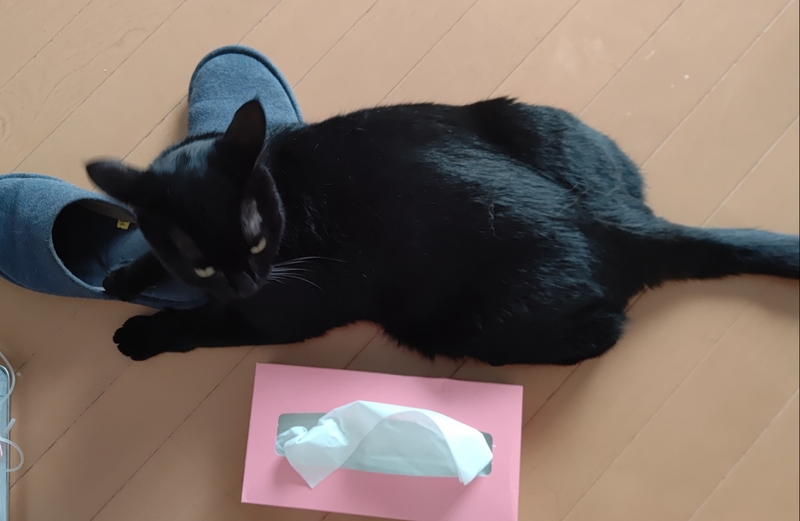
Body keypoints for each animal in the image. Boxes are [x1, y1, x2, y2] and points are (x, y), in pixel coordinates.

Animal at [86, 98, 800, 363]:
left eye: (258, 241)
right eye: (202, 262)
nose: (244, 280)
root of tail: (602, 216)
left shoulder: (280, 314)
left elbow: (201, 326)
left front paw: (144, 333)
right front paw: (125, 273)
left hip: (460, 329)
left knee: (607, 330)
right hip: (536, 119)